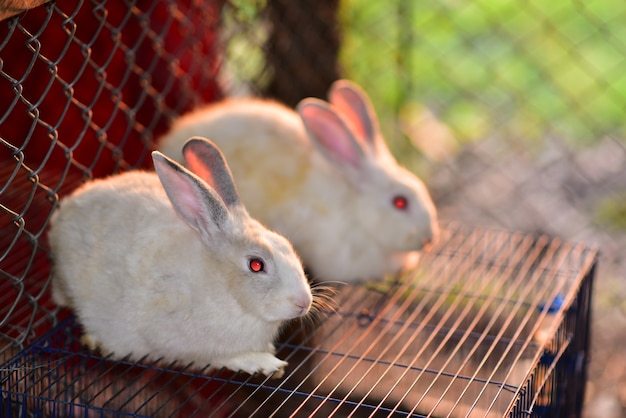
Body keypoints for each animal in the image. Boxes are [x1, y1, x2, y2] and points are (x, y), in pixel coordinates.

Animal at [48, 137, 312, 378]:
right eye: (256, 265)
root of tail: (62, 215)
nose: (304, 303)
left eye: (286, 245)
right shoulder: (180, 342)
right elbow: (222, 357)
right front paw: (266, 364)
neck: (224, 287)